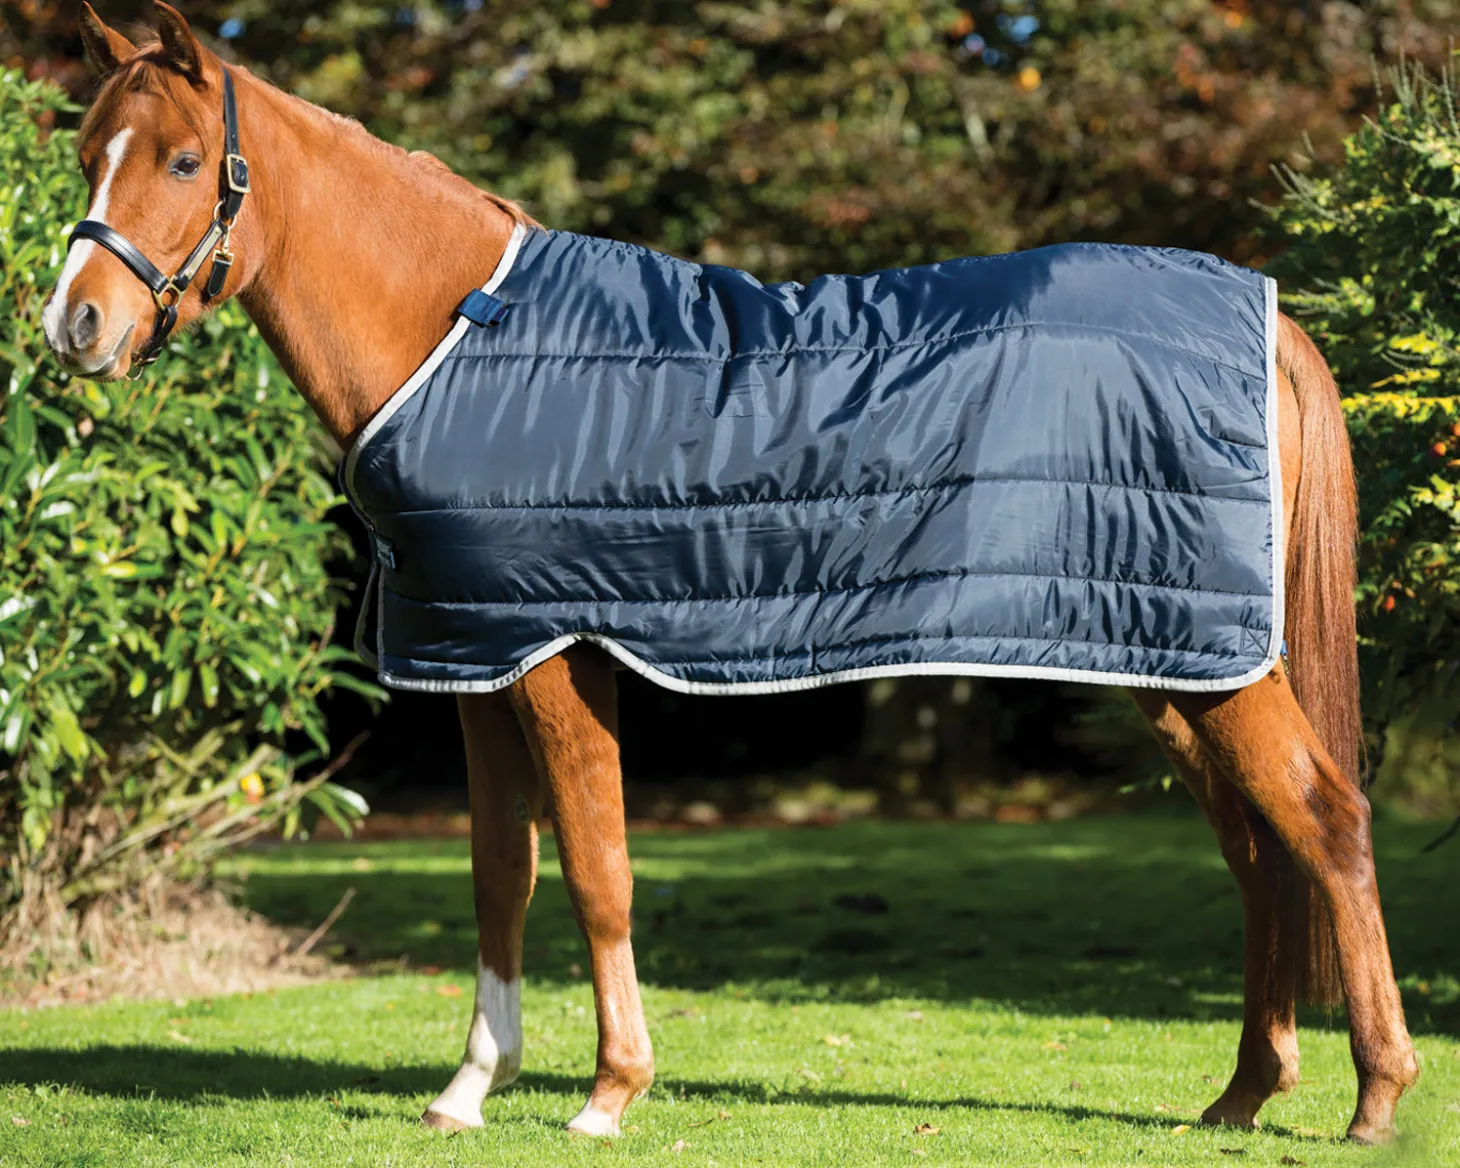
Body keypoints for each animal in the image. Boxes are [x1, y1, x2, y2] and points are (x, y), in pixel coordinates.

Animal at [41, 3, 1417, 1144]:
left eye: (180, 162)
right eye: (85, 152)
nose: (73, 327)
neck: (459, 336)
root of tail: (1265, 319)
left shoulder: (555, 654)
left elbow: (595, 869)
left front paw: (609, 1092)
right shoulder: (475, 656)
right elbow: (500, 874)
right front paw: (469, 1087)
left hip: (1210, 666)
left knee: (1328, 823)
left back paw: (1372, 1098)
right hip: (1164, 658)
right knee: (1258, 848)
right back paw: (1240, 1094)